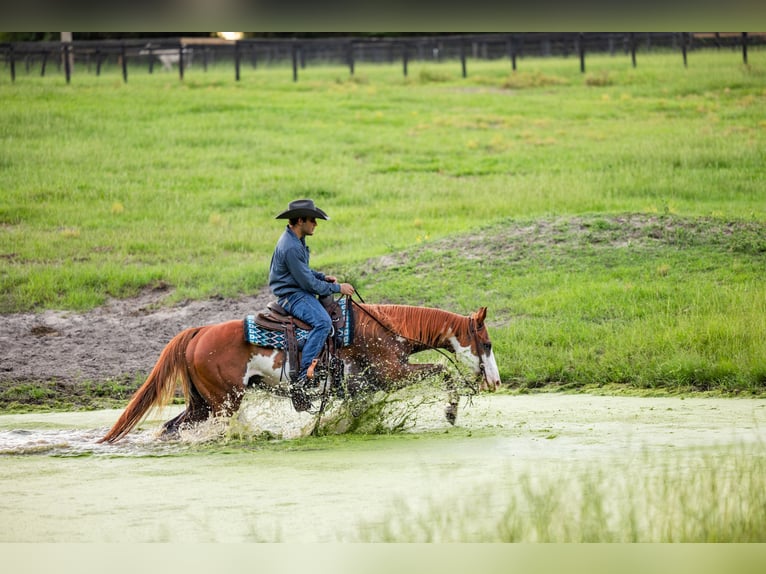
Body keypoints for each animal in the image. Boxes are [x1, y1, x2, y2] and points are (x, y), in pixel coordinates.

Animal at [99, 299, 501, 443]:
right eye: (487, 343)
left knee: (172, 427)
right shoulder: (392, 373)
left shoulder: (363, 387)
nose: (496, 381)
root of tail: (198, 332)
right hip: (223, 402)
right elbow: (443, 371)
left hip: (202, 403)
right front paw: (450, 412)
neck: (383, 329)